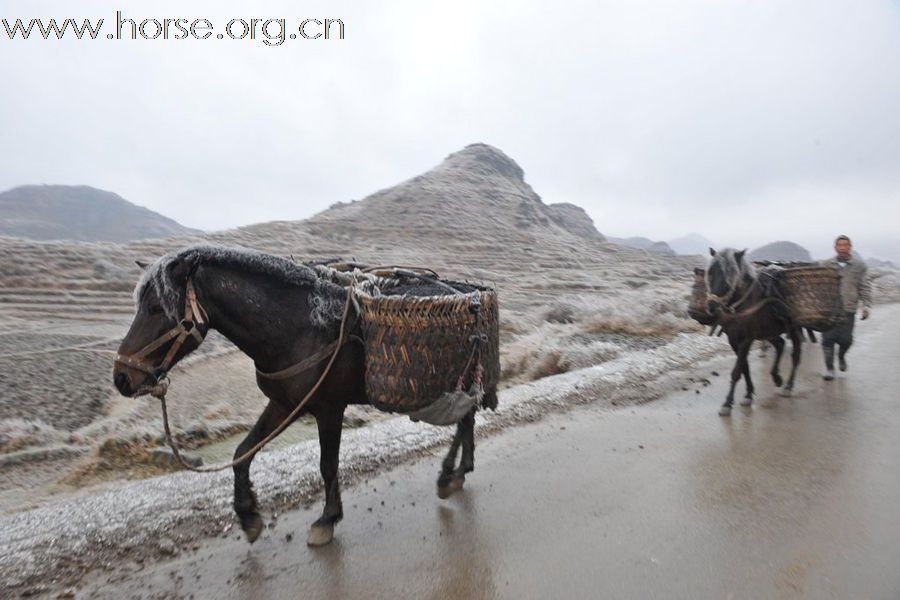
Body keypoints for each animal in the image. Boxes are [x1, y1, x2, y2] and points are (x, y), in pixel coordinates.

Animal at [116, 246, 488, 548]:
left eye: (156, 307)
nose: (121, 377)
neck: (298, 326)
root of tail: (472, 295)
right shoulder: (284, 404)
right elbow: (242, 453)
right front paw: (248, 516)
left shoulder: (329, 409)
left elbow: (327, 465)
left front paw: (327, 519)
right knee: (466, 417)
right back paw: (458, 471)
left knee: (464, 417)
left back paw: (450, 474)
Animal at [704, 246, 800, 414]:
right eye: (710, 272)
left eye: (730, 275)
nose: (712, 307)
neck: (743, 305)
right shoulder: (733, 340)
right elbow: (744, 368)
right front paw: (748, 394)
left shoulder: (746, 339)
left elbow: (737, 371)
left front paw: (727, 403)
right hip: (768, 331)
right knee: (780, 344)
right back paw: (776, 377)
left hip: (793, 329)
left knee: (795, 354)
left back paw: (788, 386)